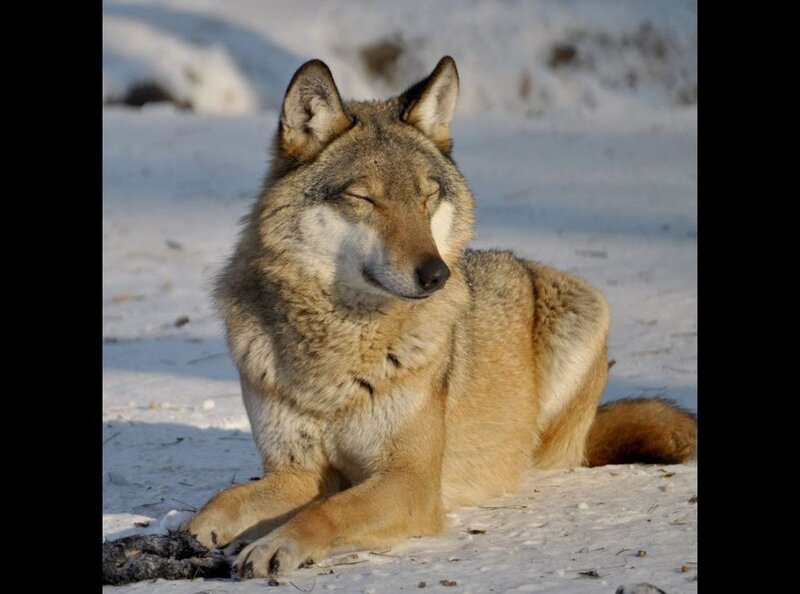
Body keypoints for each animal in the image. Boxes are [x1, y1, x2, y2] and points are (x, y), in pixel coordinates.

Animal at [184, 56, 697, 579]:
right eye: (364, 199)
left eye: (426, 197)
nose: (436, 274)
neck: (338, 350)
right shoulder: (297, 473)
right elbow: (224, 501)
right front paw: (188, 535)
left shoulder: (410, 481)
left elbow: (329, 511)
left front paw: (275, 544)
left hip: (582, 309)